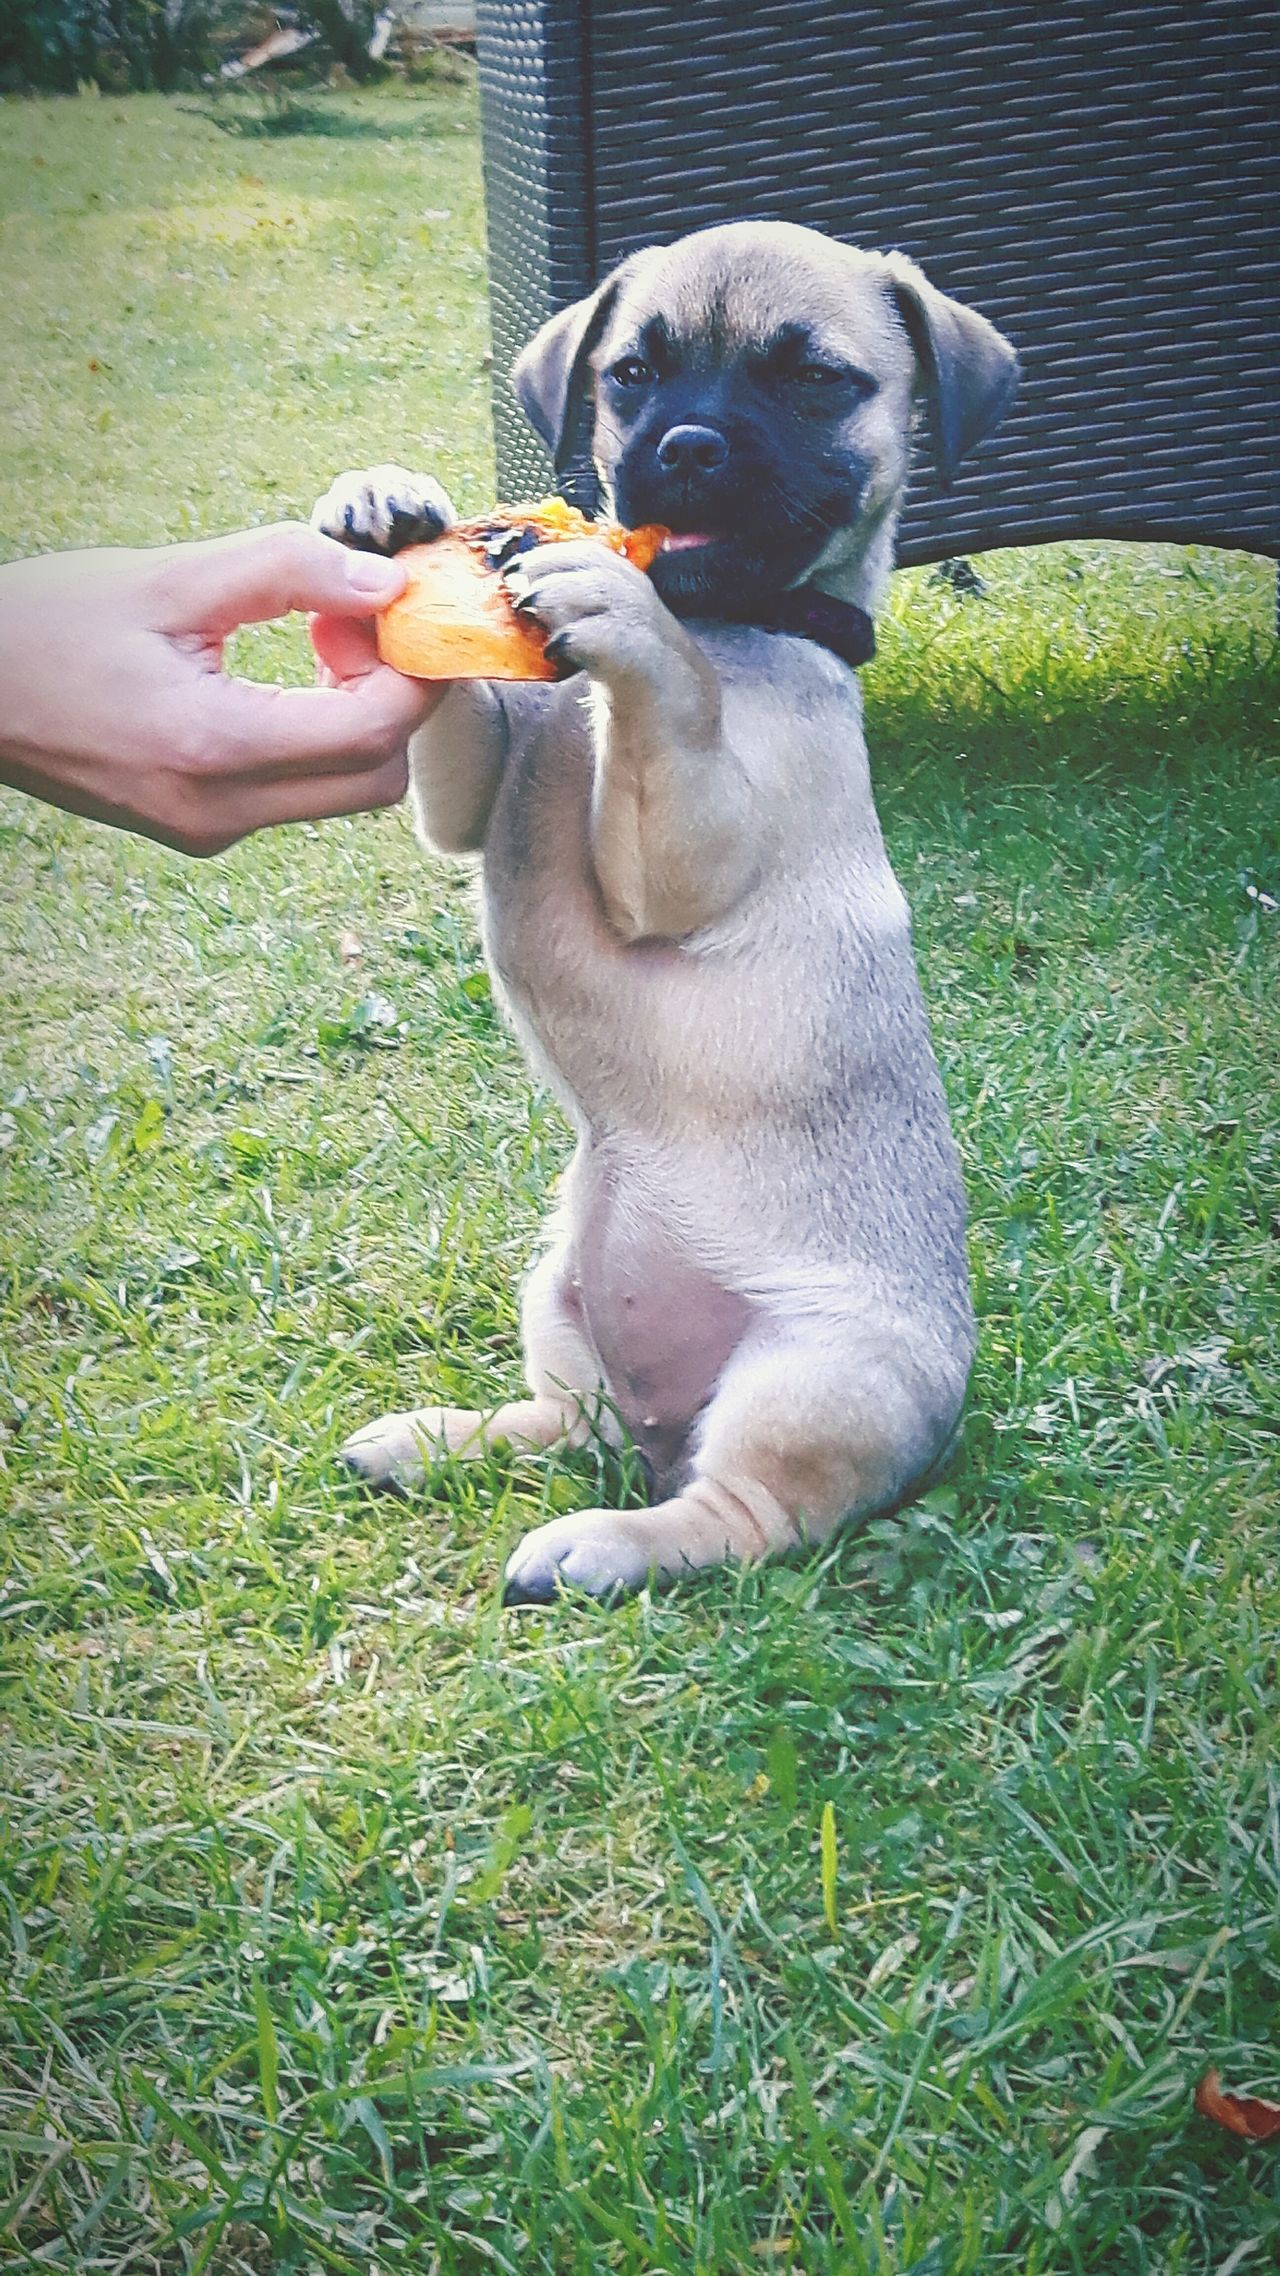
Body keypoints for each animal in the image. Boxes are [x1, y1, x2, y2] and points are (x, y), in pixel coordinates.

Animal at [312, 217, 1015, 1602]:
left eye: (815, 382)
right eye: (629, 375)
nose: (685, 447)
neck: (724, 618)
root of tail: (662, 1426)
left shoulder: (680, 855)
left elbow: (664, 701)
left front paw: (619, 610)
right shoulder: (478, 782)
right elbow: (457, 704)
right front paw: (388, 509)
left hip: (809, 1378)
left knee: (739, 1516)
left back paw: (602, 1543)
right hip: (556, 1289)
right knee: (571, 1422)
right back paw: (441, 1437)